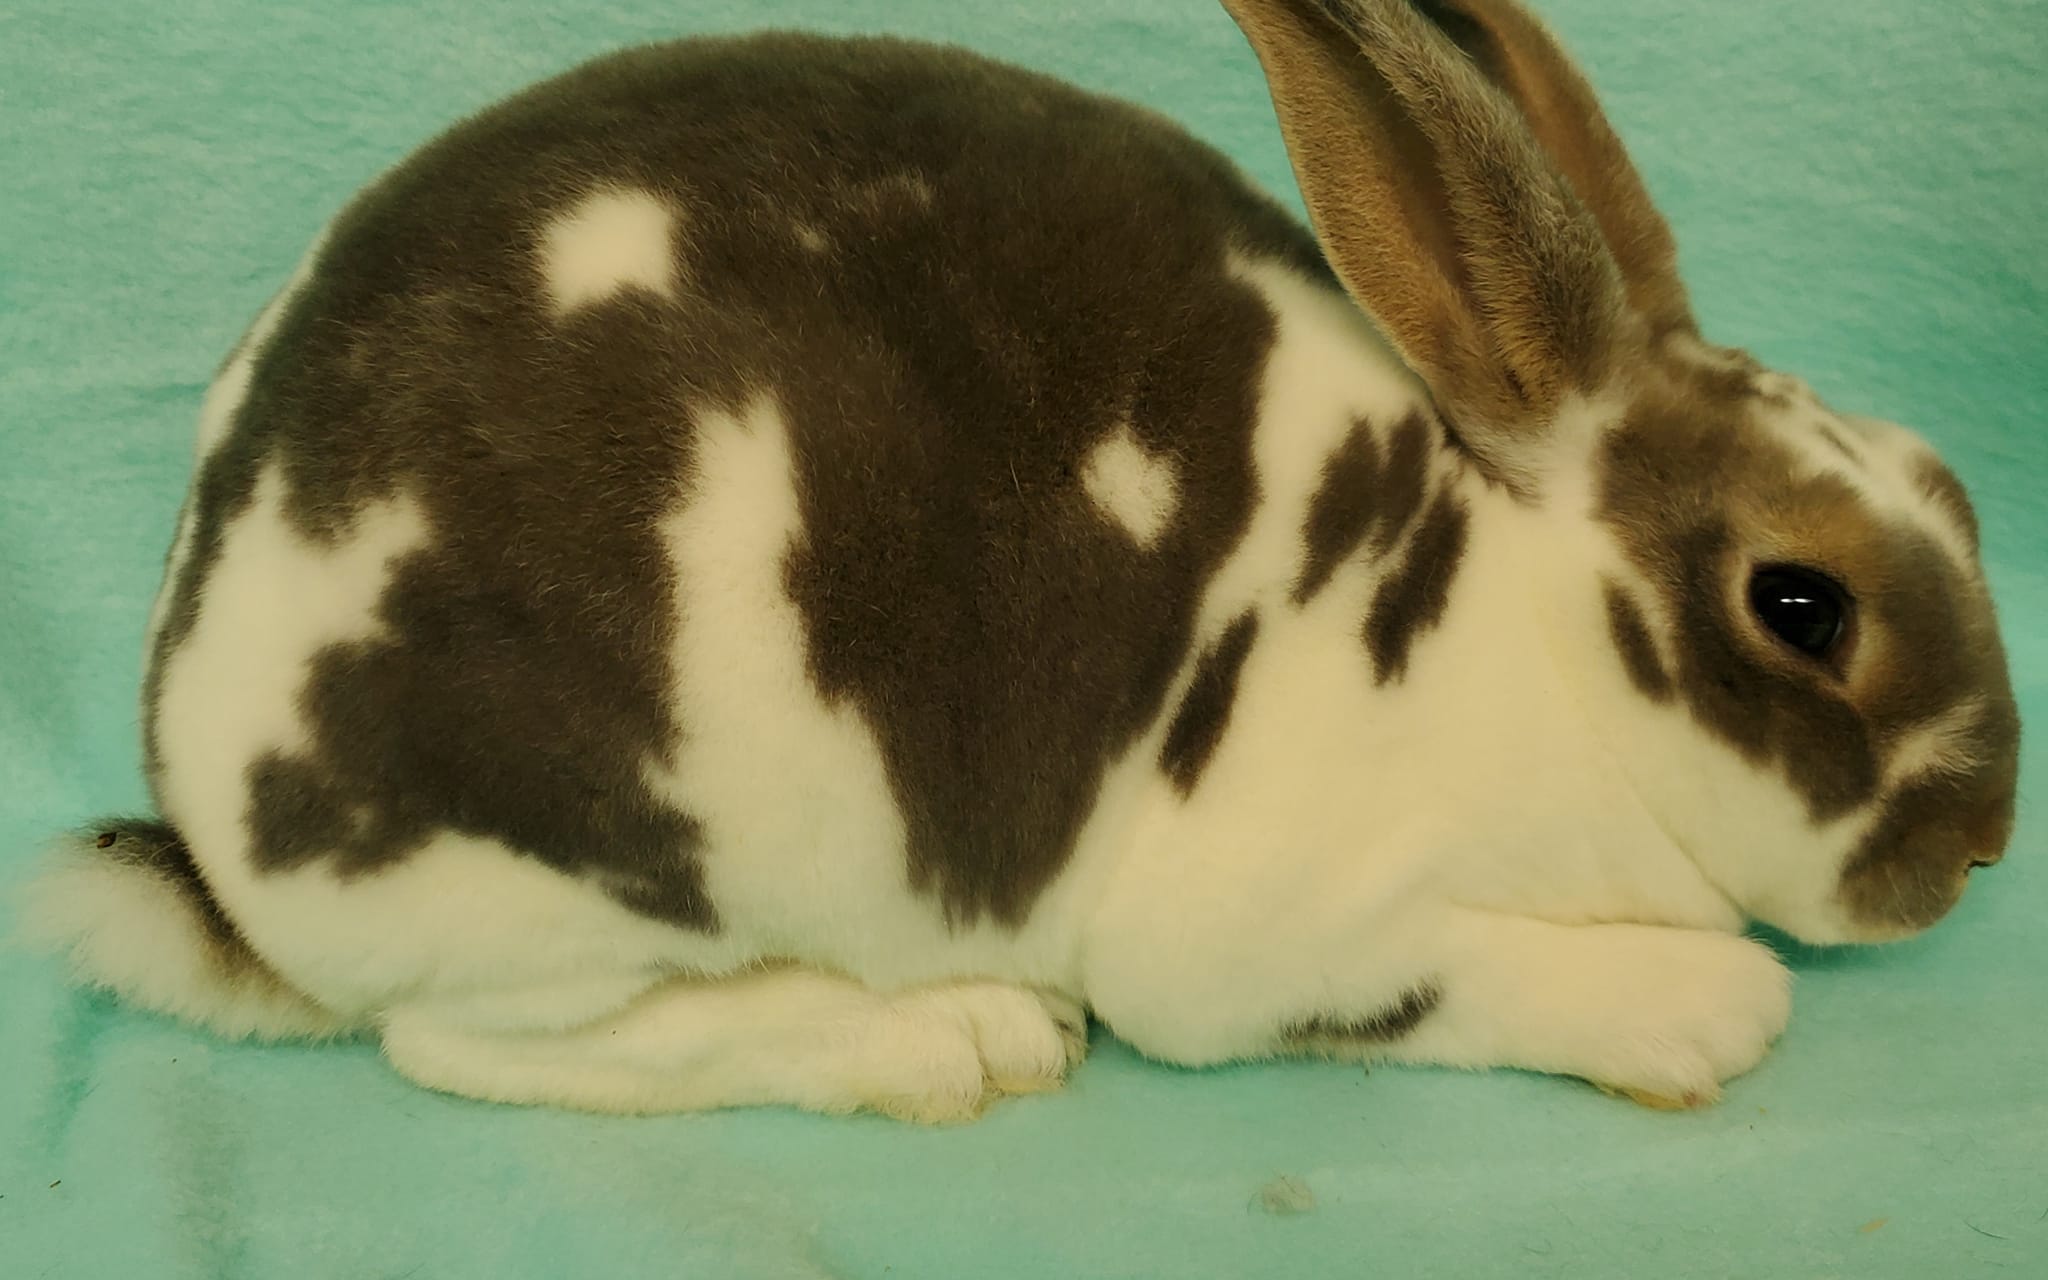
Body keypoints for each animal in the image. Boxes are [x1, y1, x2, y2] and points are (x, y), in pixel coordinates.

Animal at [19, 0, 2019, 1122]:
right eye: (1800, 607)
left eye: (1954, 485)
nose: (1980, 852)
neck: (1520, 643)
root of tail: (205, 806)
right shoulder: (1275, 931)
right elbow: (1446, 984)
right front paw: (1705, 1014)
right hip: (578, 870)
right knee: (479, 1050)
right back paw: (958, 1047)